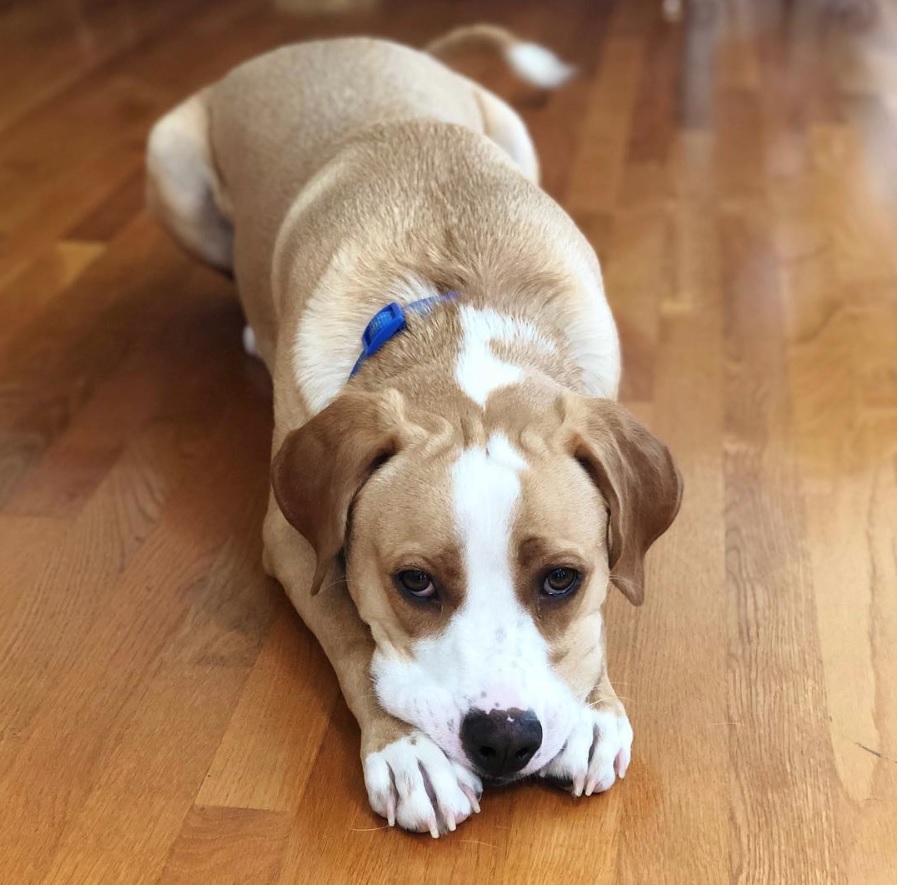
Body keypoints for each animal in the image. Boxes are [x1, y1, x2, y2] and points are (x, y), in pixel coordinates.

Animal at [146, 25, 684, 836]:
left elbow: (596, 621)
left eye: (562, 577)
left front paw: (594, 705)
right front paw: (406, 750)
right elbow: (350, 630)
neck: (455, 309)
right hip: (170, 162)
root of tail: (330, 38)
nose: (504, 739)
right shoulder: (290, 541)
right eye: (415, 582)